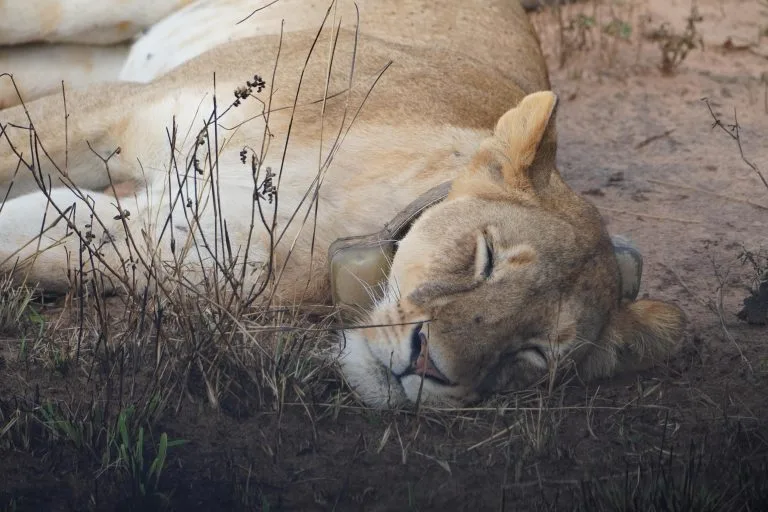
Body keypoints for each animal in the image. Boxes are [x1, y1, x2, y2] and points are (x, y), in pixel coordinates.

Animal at [0, 0, 684, 408]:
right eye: (483, 259)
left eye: (530, 356)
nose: (427, 366)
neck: (342, 219)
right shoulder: (126, 107)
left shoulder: (151, 238)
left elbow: (23, 237)